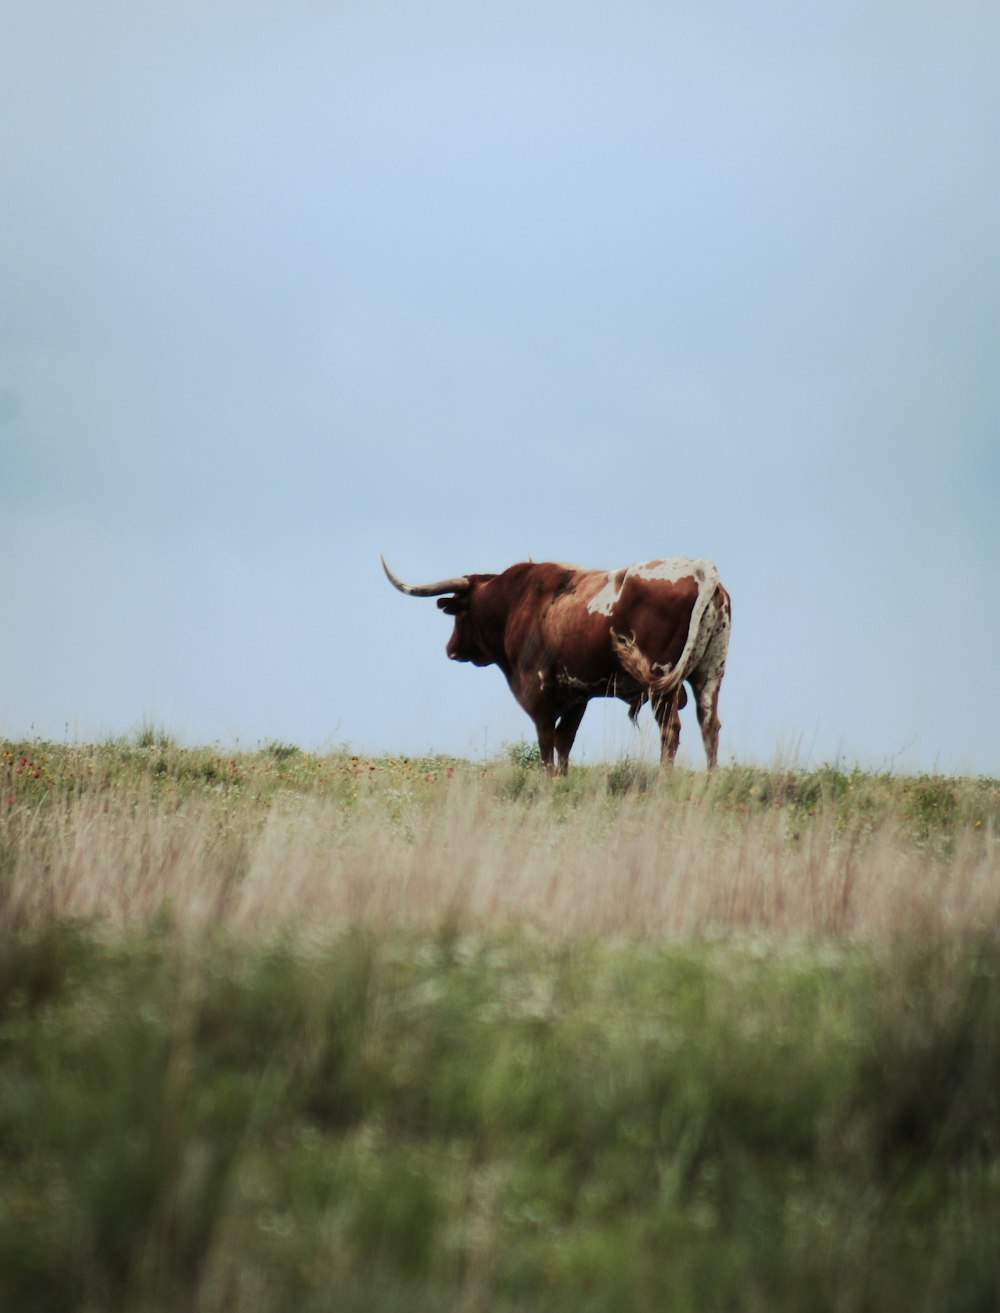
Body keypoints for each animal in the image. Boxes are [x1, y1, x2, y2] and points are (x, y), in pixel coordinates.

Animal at [377, 551, 729, 772]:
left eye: (460, 615)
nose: (451, 649)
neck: (515, 603)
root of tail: (700, 568)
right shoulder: (578, 696)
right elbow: (565, 740)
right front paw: (562, 780)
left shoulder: (538, 694)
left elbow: (547, 741)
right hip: (709, 674)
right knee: (709, 725)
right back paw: (710, 781)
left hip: (663, 682)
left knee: (671, 730)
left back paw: (662, 781)